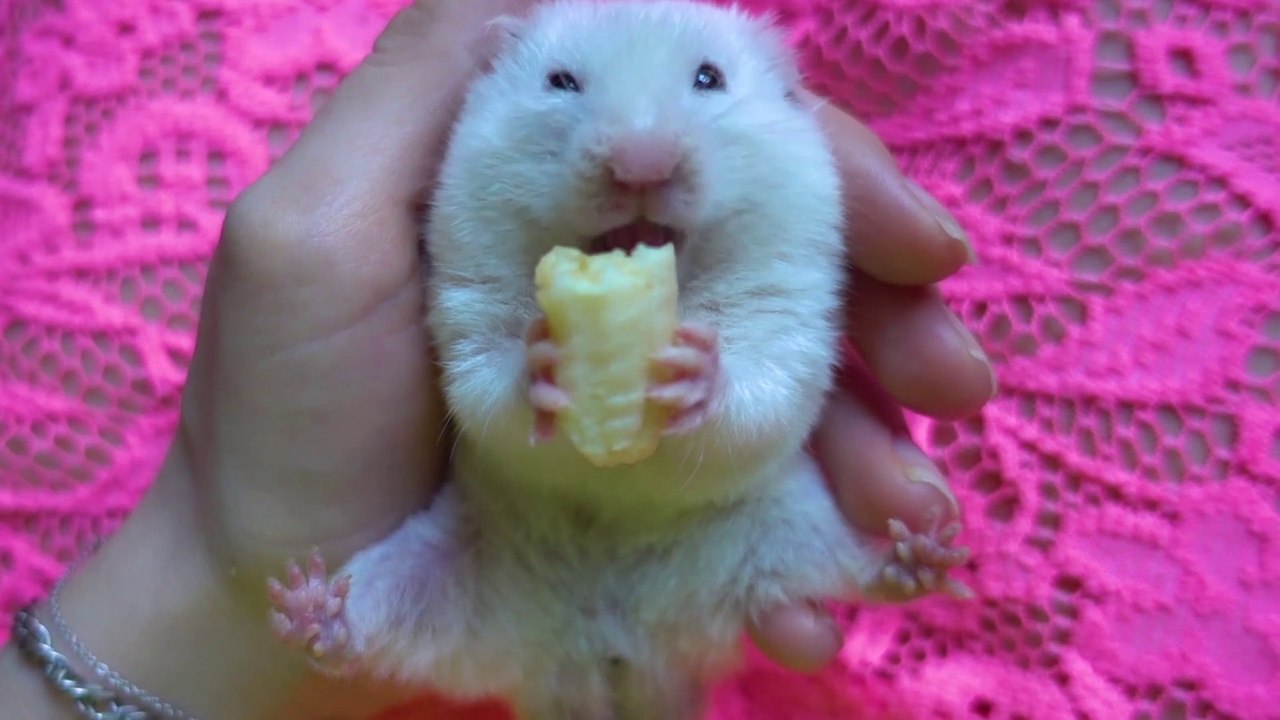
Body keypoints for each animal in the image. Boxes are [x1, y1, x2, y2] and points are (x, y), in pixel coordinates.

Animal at [266, 2, 970, 718]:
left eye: (709, 78)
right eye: (561, 82)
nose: (641, 163)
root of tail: (608, 652)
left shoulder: (788, 304)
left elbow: (764, 385)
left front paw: (695, 374)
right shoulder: (467, 296)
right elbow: (486, 379)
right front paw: (545, 364)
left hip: (787, 529)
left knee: (852, 568)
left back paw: (922, 553)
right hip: (433, 576)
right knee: (374, 629)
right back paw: (309, 609)